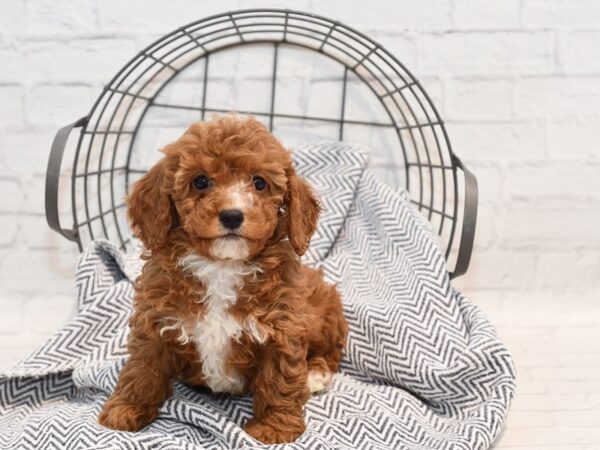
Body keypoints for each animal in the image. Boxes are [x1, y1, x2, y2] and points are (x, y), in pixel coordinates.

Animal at [98, 115, 350, 442]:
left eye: (259, 183)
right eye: (201, 181)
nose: (232, 215)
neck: (221, 267)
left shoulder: (283, 327)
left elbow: (279, 379)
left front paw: (274, 427)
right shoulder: (155, 320)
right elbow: (142, 368)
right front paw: (125, 409)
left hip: (323, 316)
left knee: (330, 352)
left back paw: (315, 374)